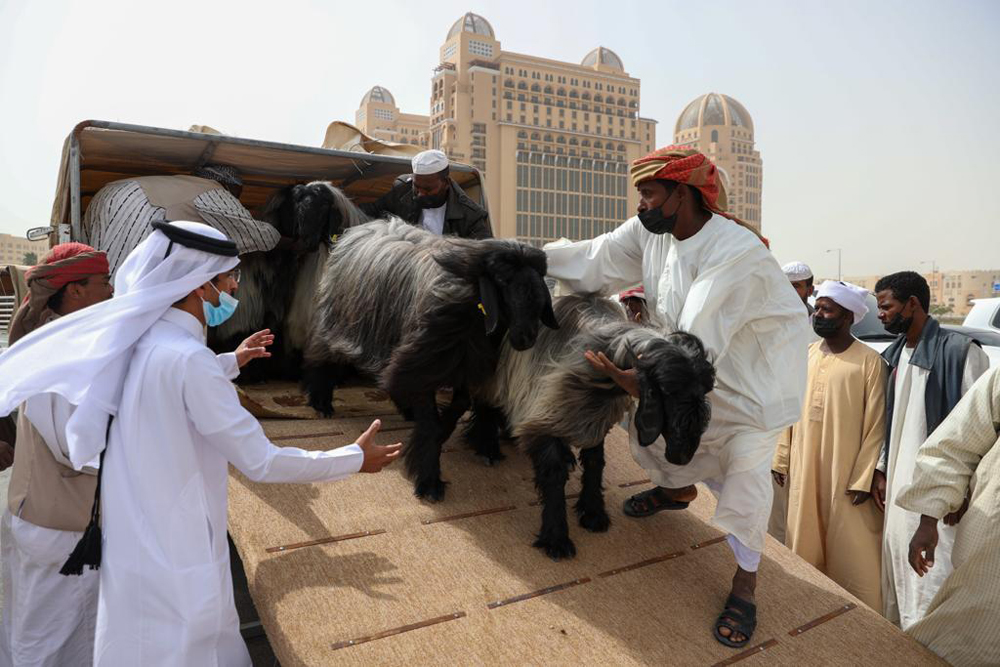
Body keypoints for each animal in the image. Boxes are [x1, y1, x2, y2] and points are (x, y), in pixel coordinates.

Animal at [300, 219, 560, 500]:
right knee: (322, 355)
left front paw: (448, 435)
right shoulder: (422, 364)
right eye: (502, 279)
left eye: (538, 279)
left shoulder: (468, 363)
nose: (527, 337)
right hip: (338, 323)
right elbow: (430, 421)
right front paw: (429, 480)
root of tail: (364, 226)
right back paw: (322, 402)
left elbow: (460, 404)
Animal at [464, 294, 716, 560]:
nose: (683, 456)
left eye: (704, 391)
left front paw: (593, 512)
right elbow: (554, 473)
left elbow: (595, 461)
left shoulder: (592, 417)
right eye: (667, 391)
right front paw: (556, 537)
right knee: (484, 396)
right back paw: (487, 447)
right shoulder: (547, 412)